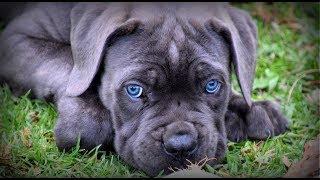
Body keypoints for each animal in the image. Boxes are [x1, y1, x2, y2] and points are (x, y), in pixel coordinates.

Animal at [0, 1, 288, 176]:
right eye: (134, 90)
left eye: (212, 85)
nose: (181, 145)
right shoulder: (16, 40)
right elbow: (71, 64)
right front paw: (84, 121)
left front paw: (248, 108)